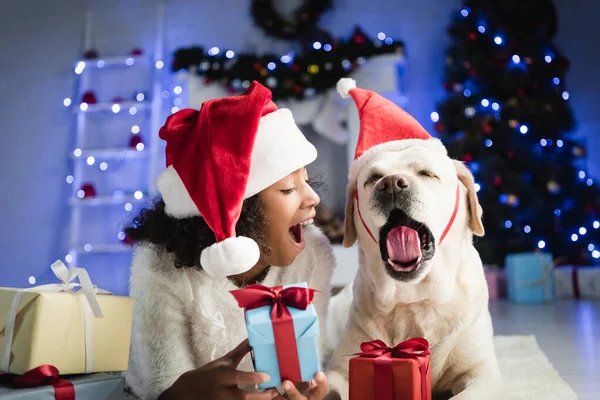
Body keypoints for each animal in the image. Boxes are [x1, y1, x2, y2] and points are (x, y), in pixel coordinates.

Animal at [324, 145, 502, 400]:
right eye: (373, 178)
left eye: (426, 173)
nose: (390, 184)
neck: (414, 300)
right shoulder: (338, 370)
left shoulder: (482, 373)